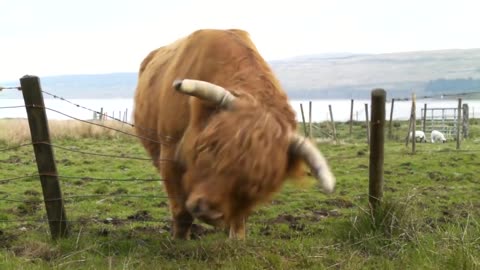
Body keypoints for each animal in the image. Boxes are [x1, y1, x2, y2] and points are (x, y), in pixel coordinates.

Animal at [131, 29, 334, 240]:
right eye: (209, 148)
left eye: (258, 183)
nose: (208, 211)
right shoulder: (169, 153)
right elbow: (181, 212)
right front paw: (179, 240)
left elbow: (239, 216)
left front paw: (237, 238)